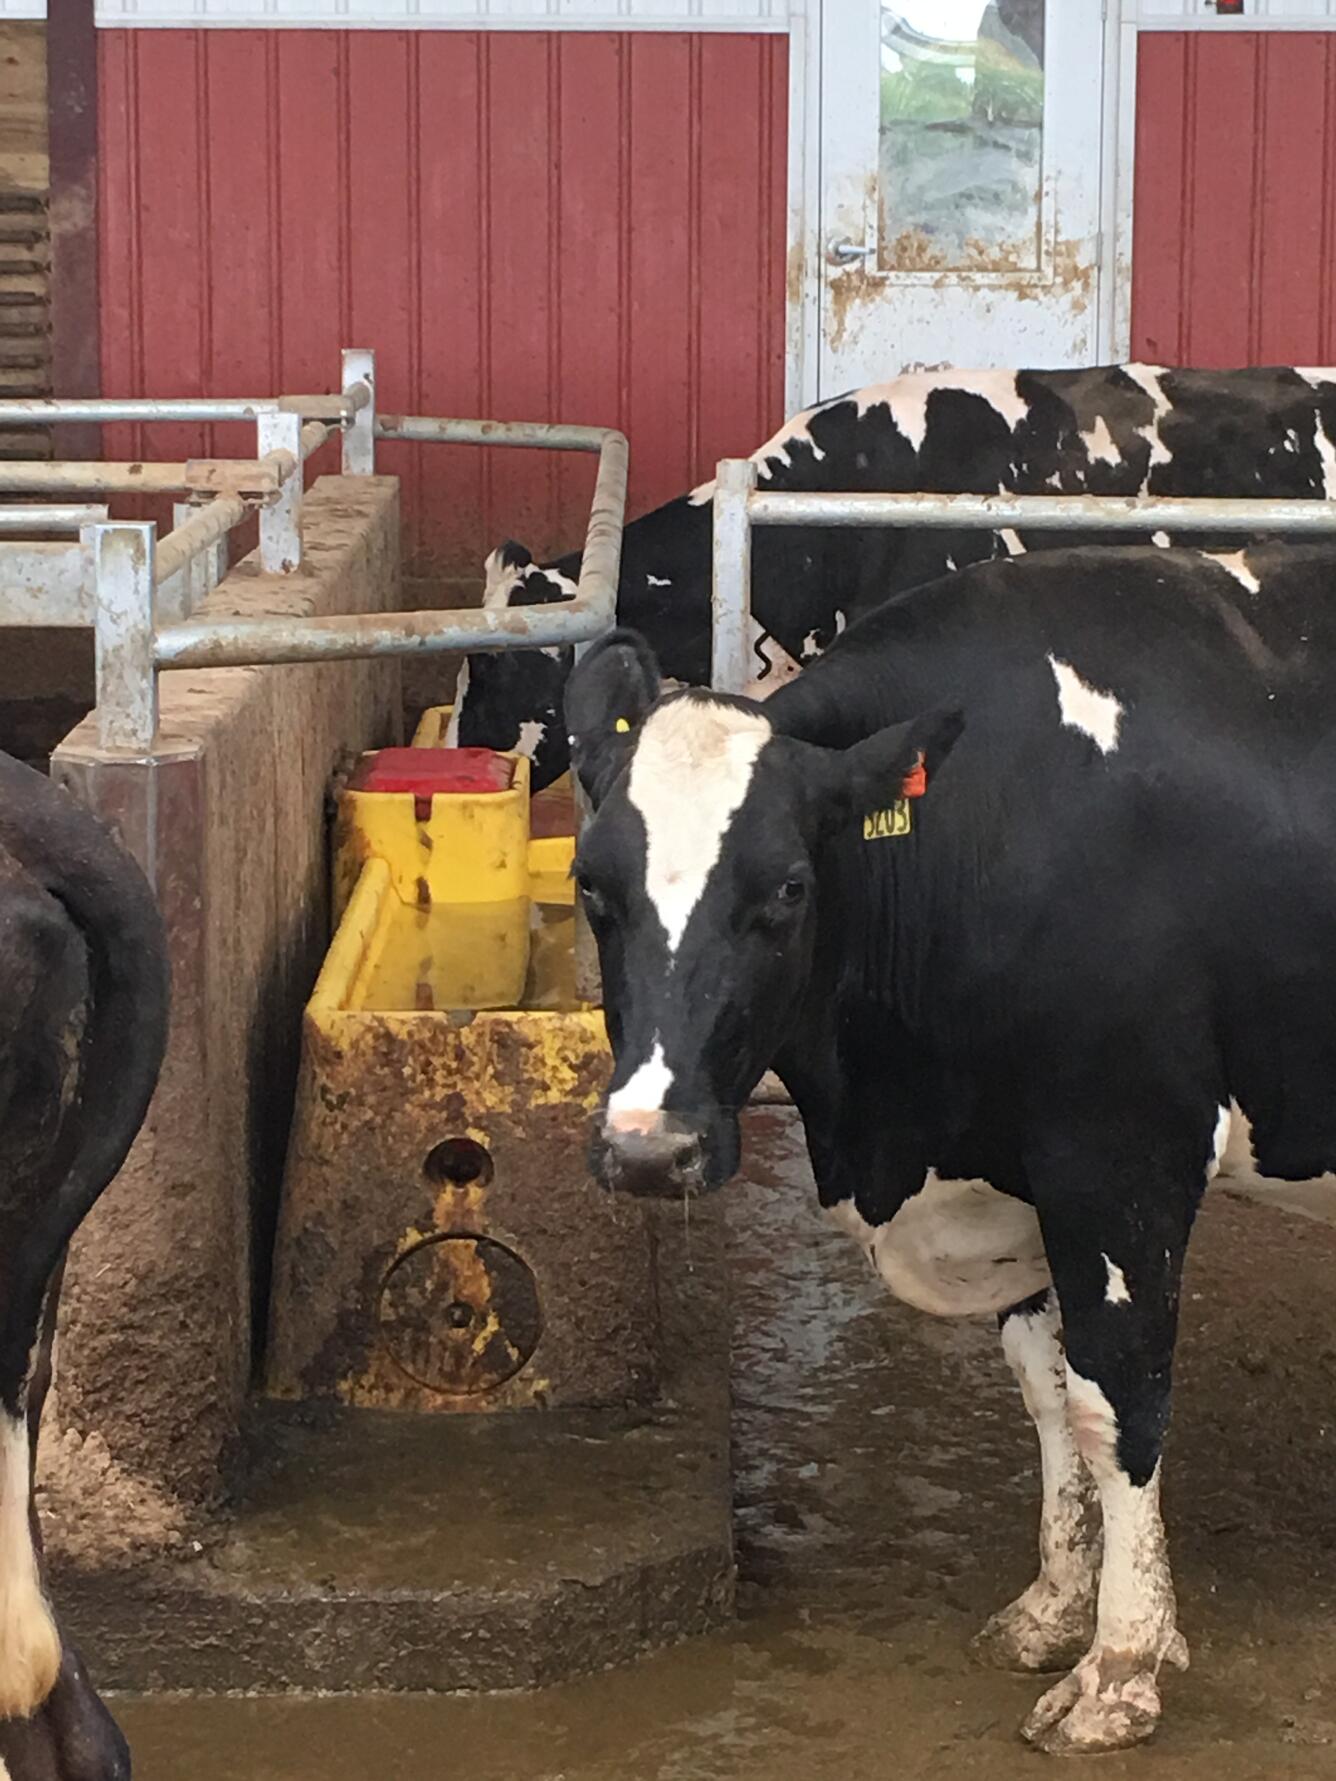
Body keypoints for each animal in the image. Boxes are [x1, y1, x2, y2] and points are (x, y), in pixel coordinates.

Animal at [560, 538, 1336, 1754]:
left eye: (789, 887)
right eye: (591, 883)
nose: (648, 1148)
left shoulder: (1121, 1153)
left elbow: (1121, 1398)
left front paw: (1120, 1663)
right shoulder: (1016, 1173)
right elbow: (1046, 1386)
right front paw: (1058, 1607)